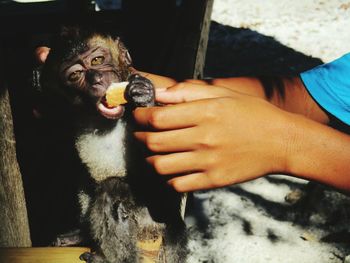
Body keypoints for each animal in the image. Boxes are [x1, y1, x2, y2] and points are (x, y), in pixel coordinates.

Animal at [37, 27, 187, 263]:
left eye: (97, 60)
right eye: (75, 75)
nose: (96, 79)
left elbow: (169, 182)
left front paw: (145, 98)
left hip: (149, 225)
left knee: (112, 189)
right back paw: (84, 234)